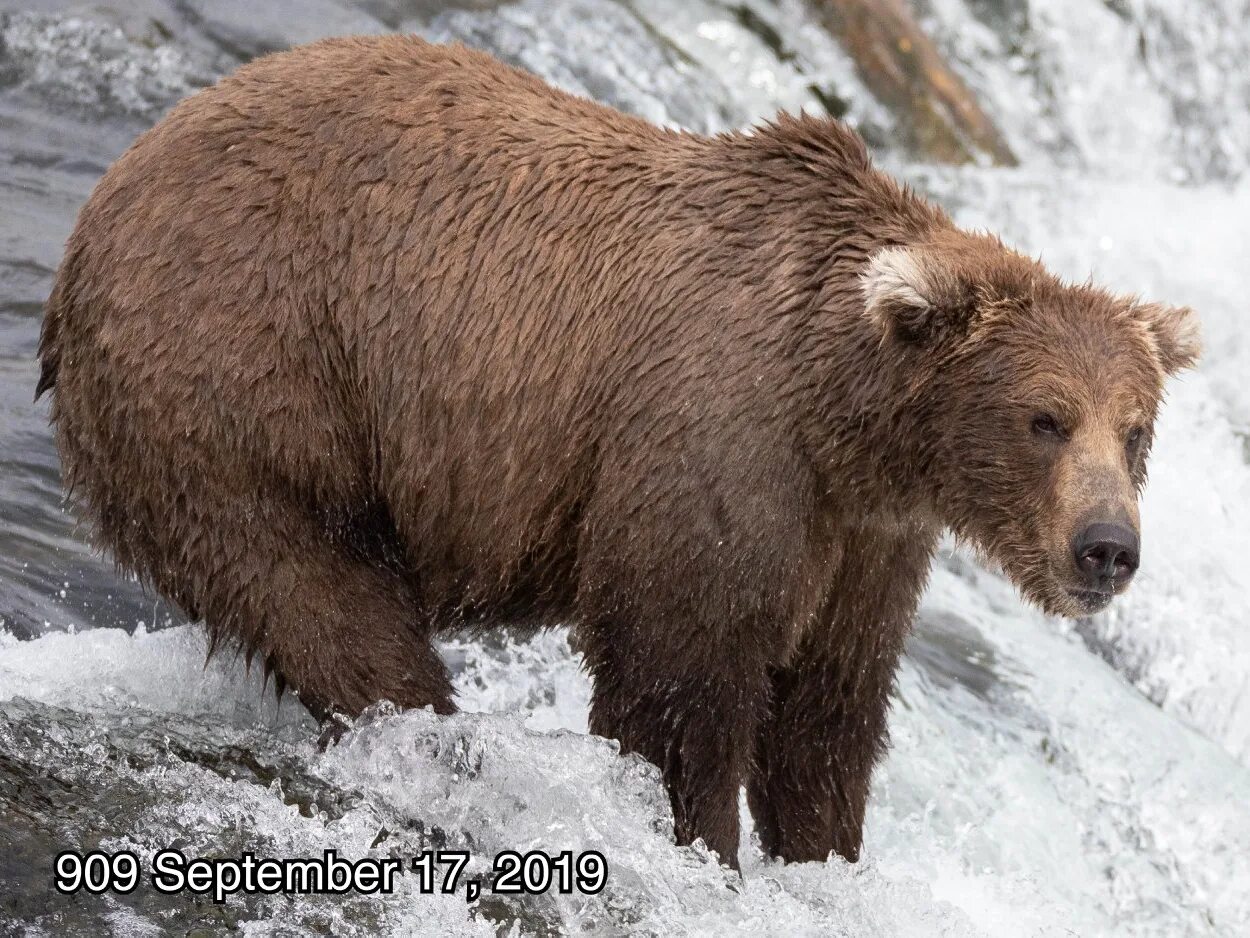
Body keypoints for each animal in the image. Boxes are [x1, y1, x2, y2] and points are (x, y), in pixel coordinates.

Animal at [37, 36, 1199, 869]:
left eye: (1134, 426)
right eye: (1045, 417)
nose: (1106, 547)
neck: (850, 416)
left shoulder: (868, 537)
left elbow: (828, 710)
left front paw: (822, 858)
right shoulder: (720, 440)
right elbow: (680, 674)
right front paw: (703, 849)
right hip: (247, 365)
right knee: (322, 593)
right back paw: (435, 742)